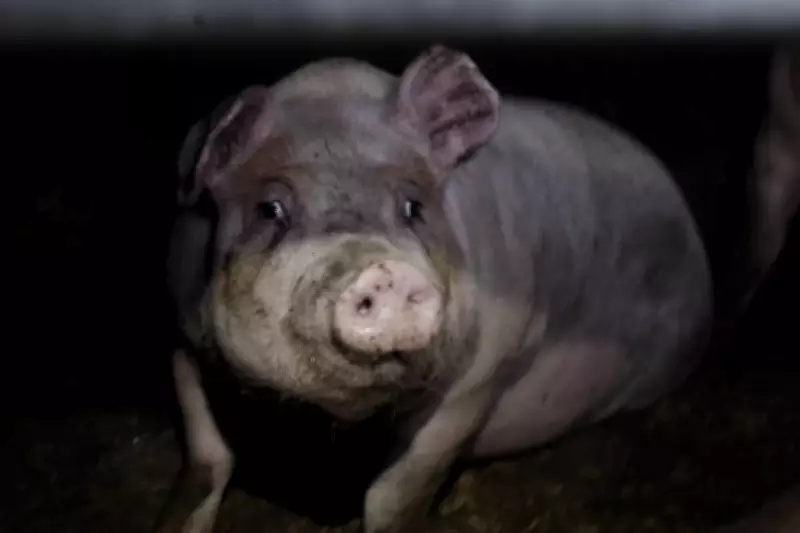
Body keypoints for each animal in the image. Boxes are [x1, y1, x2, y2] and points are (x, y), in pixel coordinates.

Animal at [156, 45, 713, 533]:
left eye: (413, 207)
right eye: (270, 209)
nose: (384, 269)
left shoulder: (484, 369)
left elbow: (397, 491)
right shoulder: (184, 332)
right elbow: (208, 458)